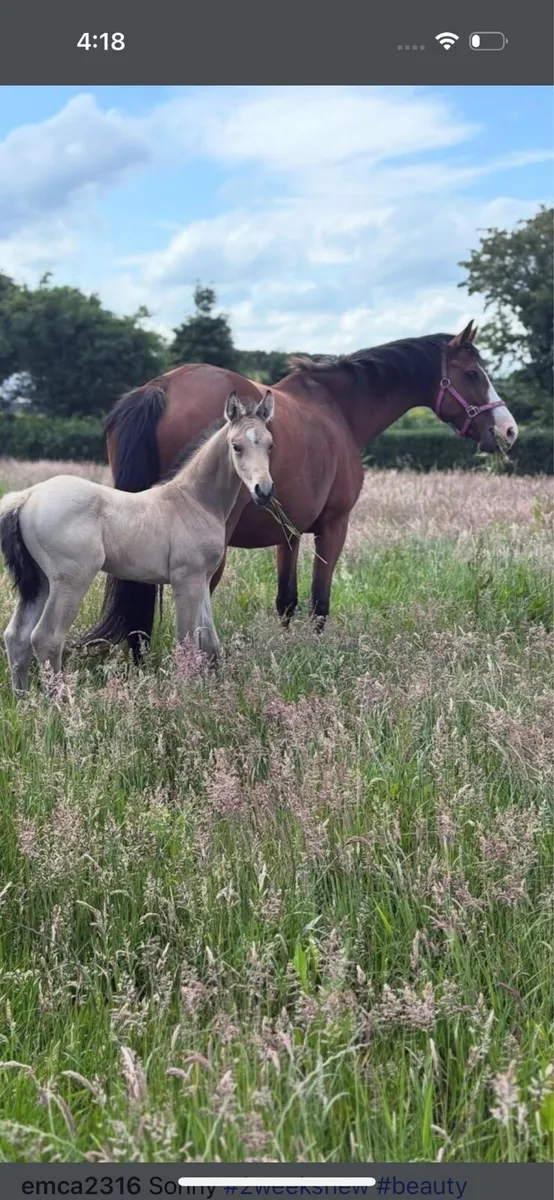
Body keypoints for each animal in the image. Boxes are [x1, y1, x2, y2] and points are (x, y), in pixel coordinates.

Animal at [0, 391, 275, 694]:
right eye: (236, 446)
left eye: (270, 445)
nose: (264, 490)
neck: (194, 501)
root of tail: (26, 496)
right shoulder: (186, 580)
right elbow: (187, 641)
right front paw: (187, 694)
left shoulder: (202, 580)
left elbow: (210, 644)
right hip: (70, 581)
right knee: (46, 638)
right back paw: (61, 701)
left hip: (41, 582)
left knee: (17, 636)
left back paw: (25, 699)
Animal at [82, 321, 518, 662]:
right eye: (473, 374)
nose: (508, 430)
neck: (337, 409)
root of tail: (160, 388)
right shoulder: (334, 526)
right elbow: (319, 601)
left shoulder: (287, 532)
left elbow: (286, 601)